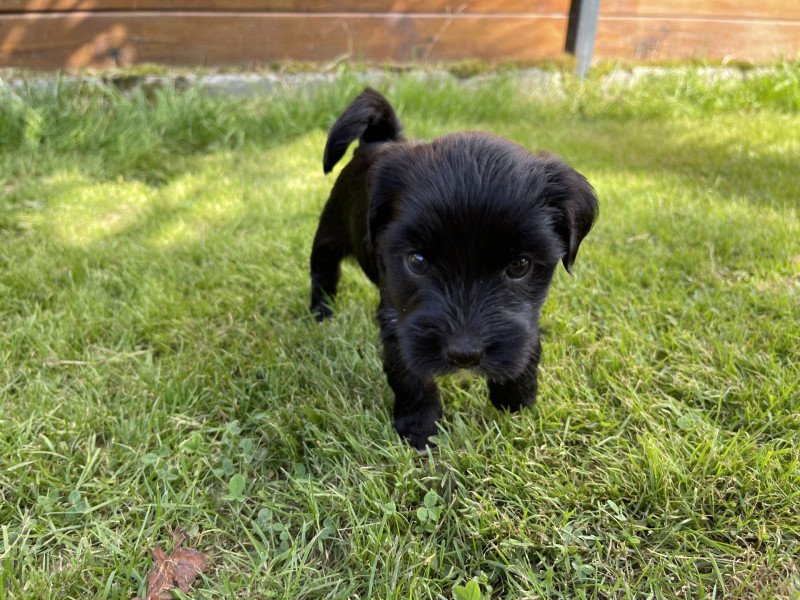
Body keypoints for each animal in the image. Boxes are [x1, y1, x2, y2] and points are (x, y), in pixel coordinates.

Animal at [310, 86, 596, 448]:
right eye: (417, 261)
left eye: (519, 265)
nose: (465, 354)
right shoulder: (398, 317)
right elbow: (409, 371)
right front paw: (419, 427)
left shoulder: (525, 316)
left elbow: (527, 338)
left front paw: (516, 396)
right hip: (330, 230)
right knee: (322, 267)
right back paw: (321, 311)